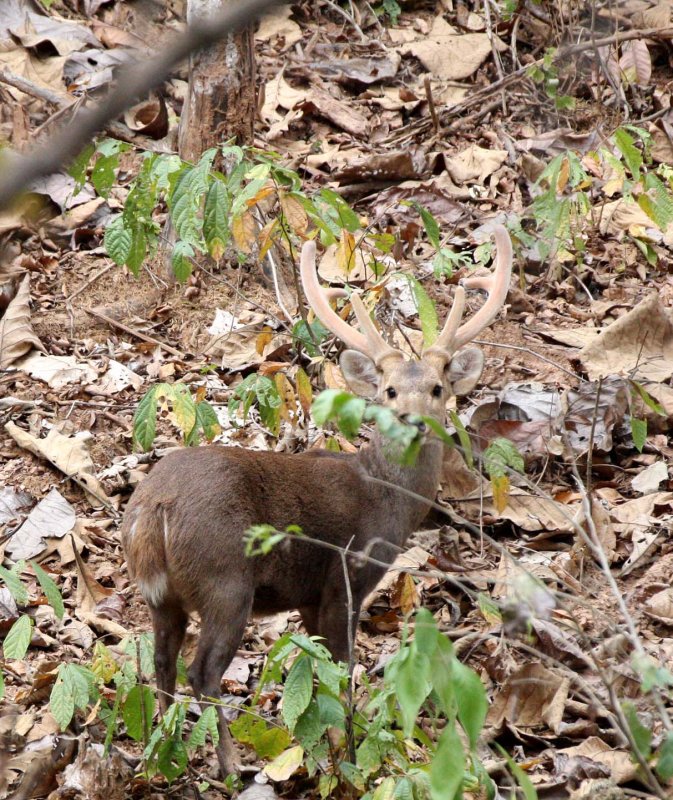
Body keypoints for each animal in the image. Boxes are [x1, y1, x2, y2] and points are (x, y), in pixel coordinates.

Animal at [121, 222, 512, 772]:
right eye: (390, 390)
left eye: (437, 388)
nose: (412, 419)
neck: (384, 498)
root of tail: (152, 510)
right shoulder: (345, 578)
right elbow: (343, 669)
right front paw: (347, 747)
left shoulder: (306, 596)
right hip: (225, 578)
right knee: (203, 672)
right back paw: (229, 766)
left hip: (161, 596)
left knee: (161, 662)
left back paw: (165, 757)